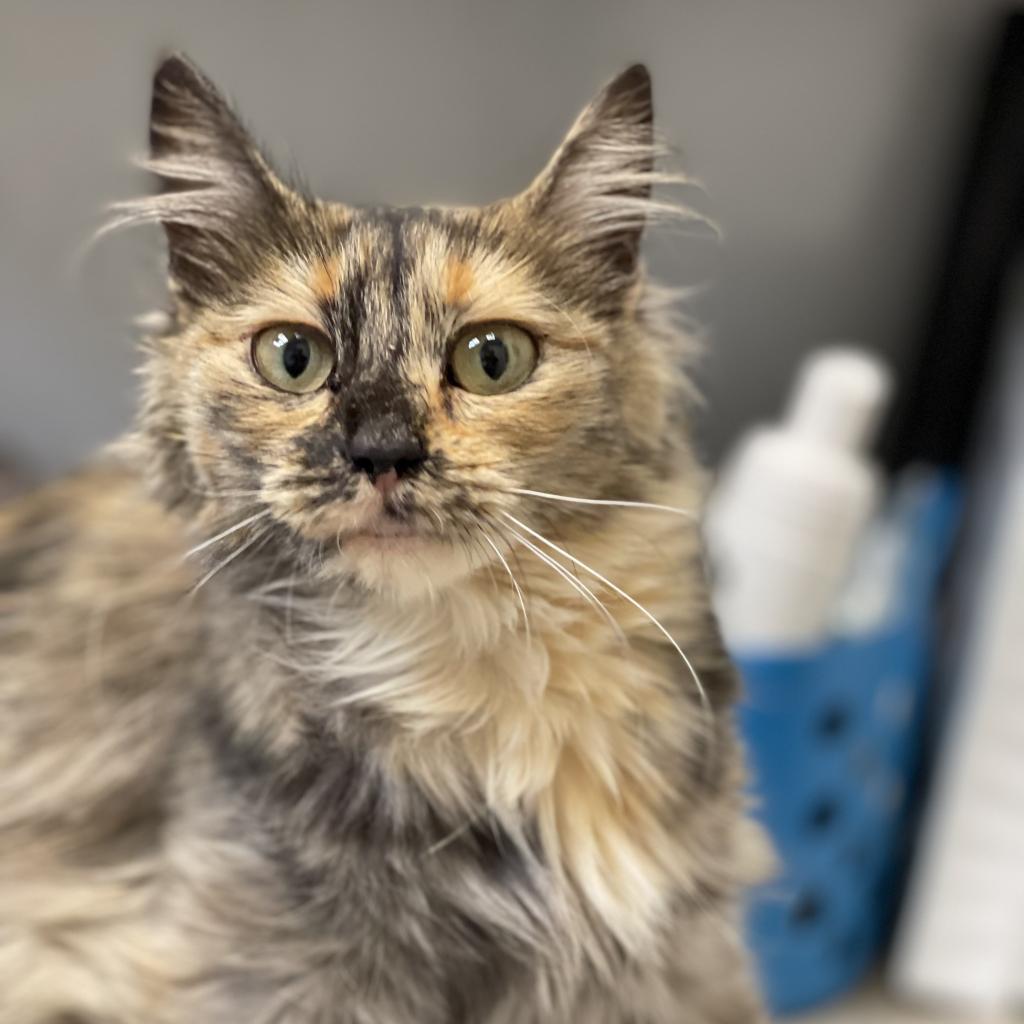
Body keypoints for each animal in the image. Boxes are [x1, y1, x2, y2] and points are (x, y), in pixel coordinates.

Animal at [0, 56, 770, 1024]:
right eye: (293, 358)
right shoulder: (256, 972)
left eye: (493, 359)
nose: (382, 452)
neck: (471, 689)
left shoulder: (672, 972)